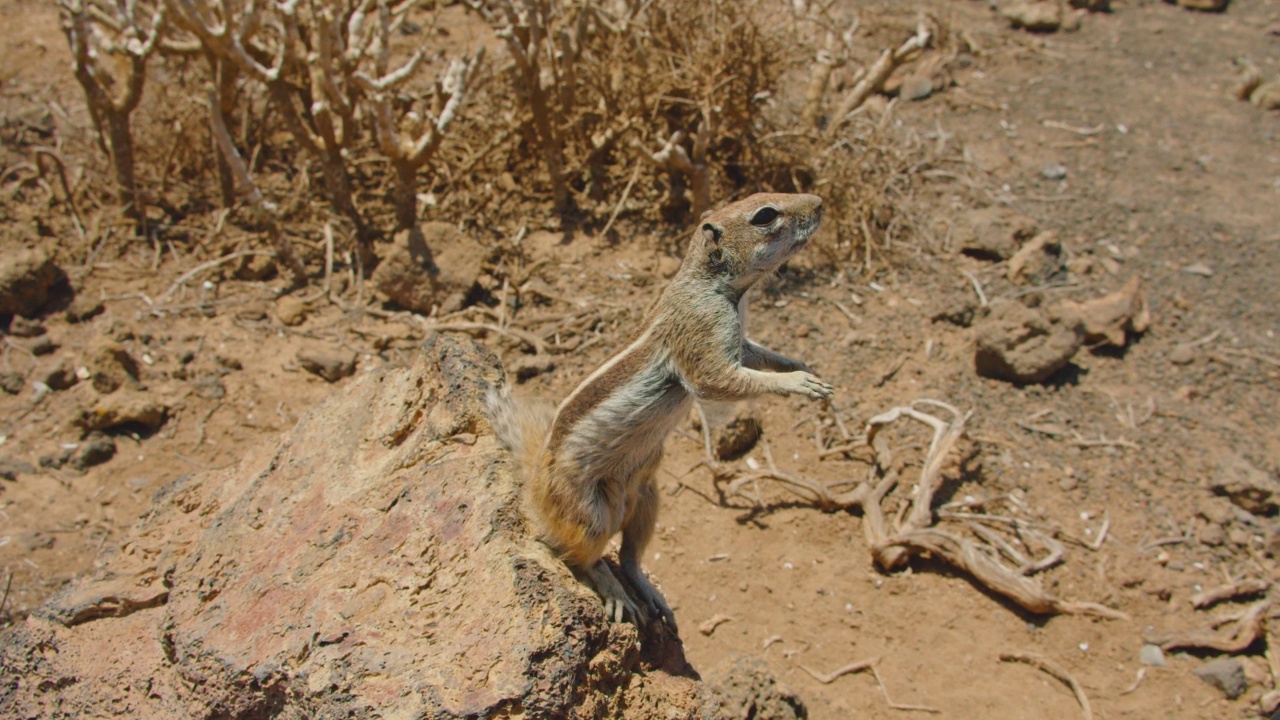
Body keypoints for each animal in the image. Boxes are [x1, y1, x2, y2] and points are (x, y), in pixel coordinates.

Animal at [486, 193, 829, 625]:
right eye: (764, 215)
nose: (820, 204)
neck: (710, 284)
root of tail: (534, 479)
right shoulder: (703, 338)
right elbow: (718, 381)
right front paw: (798, 384)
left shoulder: (740, 343)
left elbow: (761, 354)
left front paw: (800, 365)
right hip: (589, 513)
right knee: (578, 556)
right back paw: (614, 591)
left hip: (647, 497)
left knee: (630, 555)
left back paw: (648, 591)